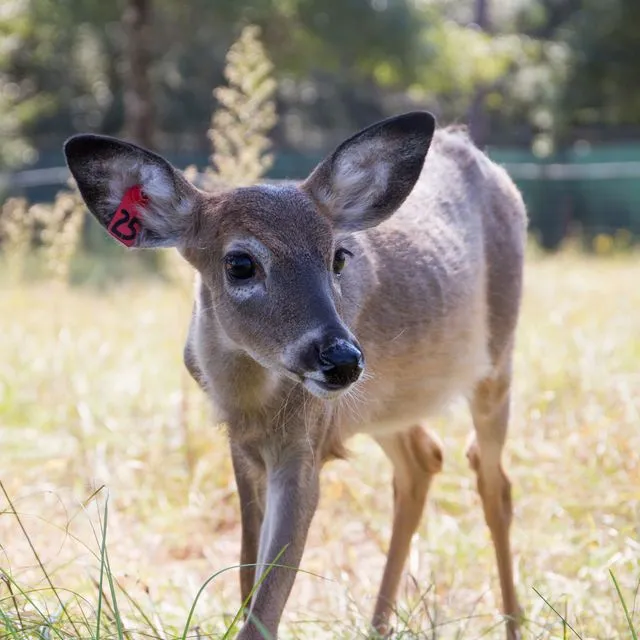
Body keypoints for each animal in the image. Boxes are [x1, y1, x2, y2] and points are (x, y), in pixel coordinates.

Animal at [63, 112, 524, 636]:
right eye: (240, 263)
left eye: (339, 256)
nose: (343, 359)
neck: (251, 398)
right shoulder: (242, 445)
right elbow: (247, 578)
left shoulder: (304, 445)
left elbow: (265, 606)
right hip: (386, 406)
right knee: (422, 461)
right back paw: (378, 625)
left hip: (498, 359)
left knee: (493, 481)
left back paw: (513, 624)